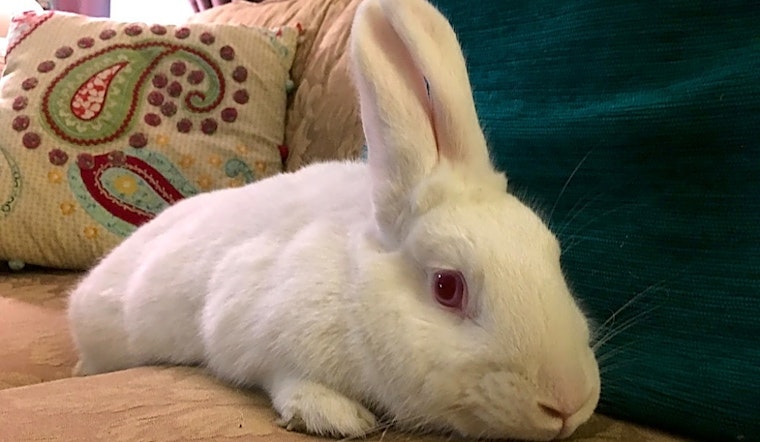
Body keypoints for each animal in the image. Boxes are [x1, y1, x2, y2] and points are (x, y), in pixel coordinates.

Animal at [67, 0, 601, 440]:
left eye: (553, 257)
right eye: (448, 287)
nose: (567, 403)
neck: (355, 287)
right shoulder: (248, 321)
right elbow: (278, 373)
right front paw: (333, 414)